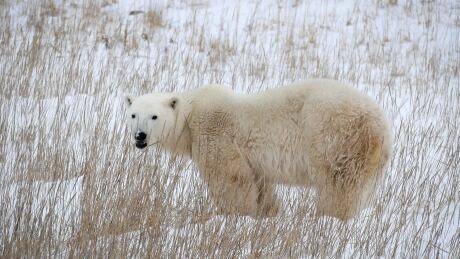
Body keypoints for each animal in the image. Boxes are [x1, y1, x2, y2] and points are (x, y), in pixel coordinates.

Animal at [125, 79, 392, 221]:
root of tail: (379, 123)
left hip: (333, 137)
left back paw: (330, 216)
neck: (191, 117)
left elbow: (230, 179)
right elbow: (261, 184)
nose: (140, 136)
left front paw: (234, 214)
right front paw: (268, 212)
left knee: (337, 185)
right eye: (133, 114)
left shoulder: (216, 136)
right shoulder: (254, 162)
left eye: (154, 116)